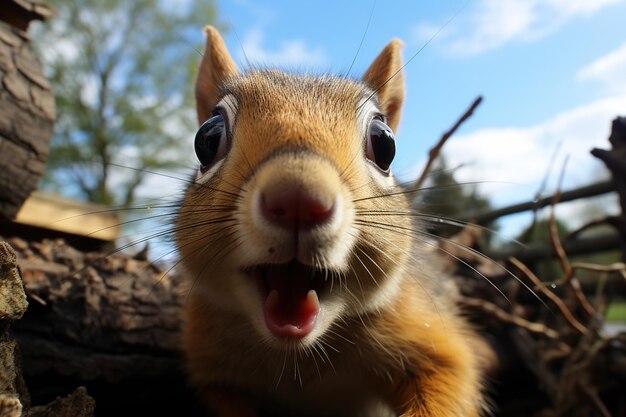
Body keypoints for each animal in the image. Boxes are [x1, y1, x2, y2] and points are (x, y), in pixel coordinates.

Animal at [173, 26, 490, 416]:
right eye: (207, 138)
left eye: (385, 145)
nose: (297, 198)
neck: (300, 359)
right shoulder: (215, 371)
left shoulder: (433, 338)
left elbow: (449, 384)